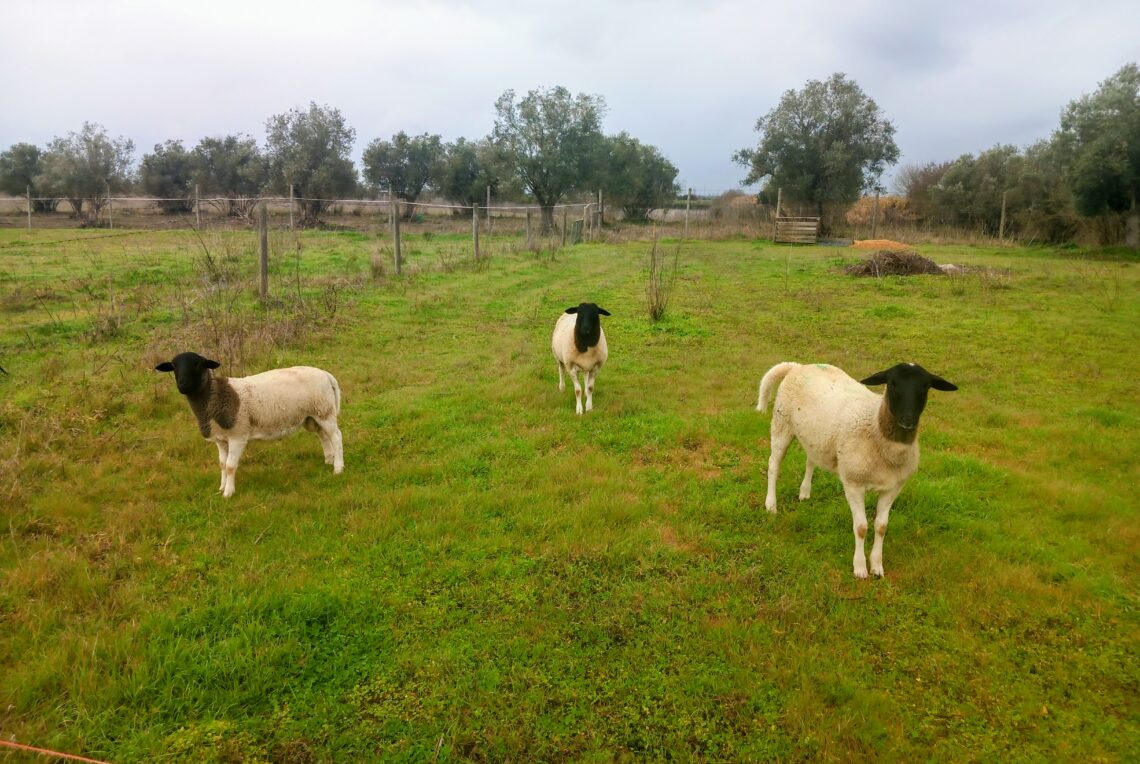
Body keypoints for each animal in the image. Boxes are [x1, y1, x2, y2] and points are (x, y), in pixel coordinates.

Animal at [155, 352, 343, 497]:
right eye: (173, 366)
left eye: (197, 364)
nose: (183, 385)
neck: (215, 397)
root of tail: (326, 375)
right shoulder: (220, 439)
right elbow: (222, 464)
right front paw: (221, 487)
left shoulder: (238, 436)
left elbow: (230, 466)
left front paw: (228, 493)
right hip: (313, 416)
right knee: (323, 435)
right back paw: (329, 460)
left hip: (324, 410)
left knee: (336, 437)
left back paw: (338, 468)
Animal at [756, 361, 957, 578]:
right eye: (892, 383)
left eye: (925, 386)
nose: (908, 419)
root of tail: (797, 366)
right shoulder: (853, 484)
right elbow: (861, 528)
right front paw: (860, 569)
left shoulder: (892, 488)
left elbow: (881, 527)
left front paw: (877, 566)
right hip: (781, 424)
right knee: (773, 465)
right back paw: (771, 505)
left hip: (816, 437)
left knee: (811, 459)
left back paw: (805, 493)